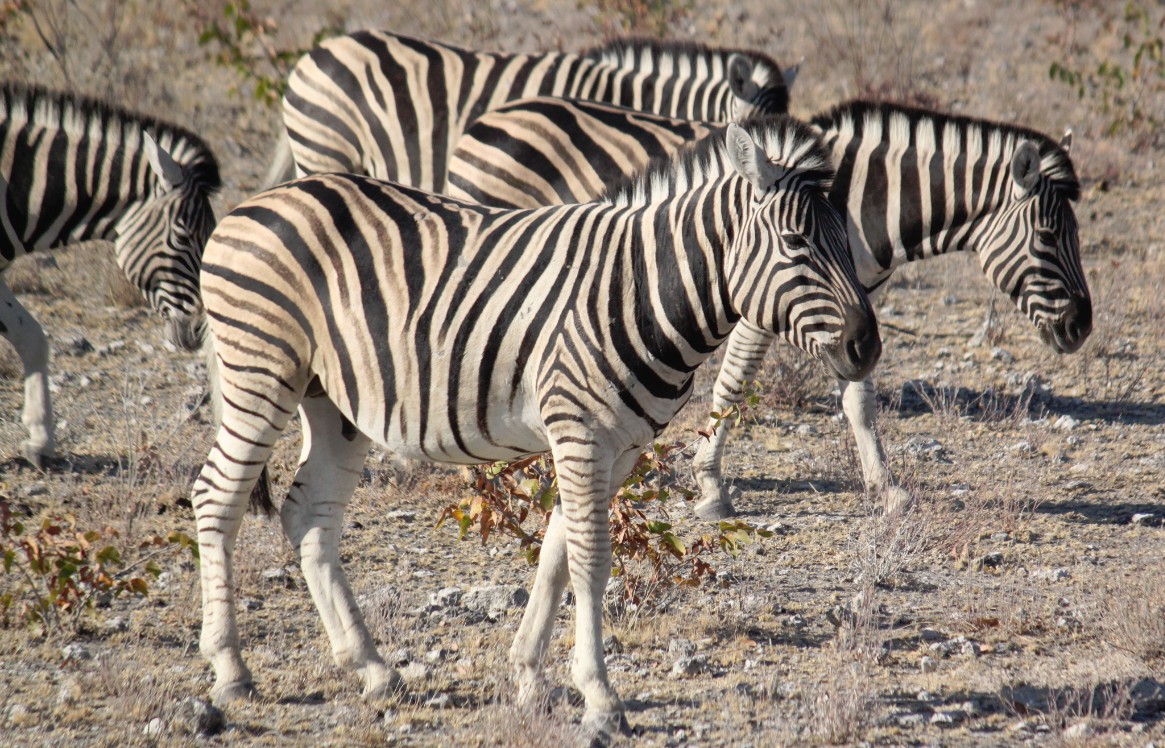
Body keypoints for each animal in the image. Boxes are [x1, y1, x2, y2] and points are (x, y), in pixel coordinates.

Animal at [193, 116, 880, 741]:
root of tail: (251, 205)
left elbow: (556, 557)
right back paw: (231, 671)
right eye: (794, 242)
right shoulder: (580, 433)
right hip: (262, 370)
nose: (867, 348)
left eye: (850, 242)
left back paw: (372, 668)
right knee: (216, 498)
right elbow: (591, 561)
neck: (643, 290)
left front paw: (531, 679)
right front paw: (602, 700)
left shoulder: (617, 449)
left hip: (331, 399)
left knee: (309, 514)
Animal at [445, 96, 1090, 514]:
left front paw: (885, 487)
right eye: (1048, 237)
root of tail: (488, 117)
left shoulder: (850, 314)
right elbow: (733, 386)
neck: (868, 195)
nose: (1082, 327)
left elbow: (859, 400)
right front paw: (710, 486)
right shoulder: (766, 306)